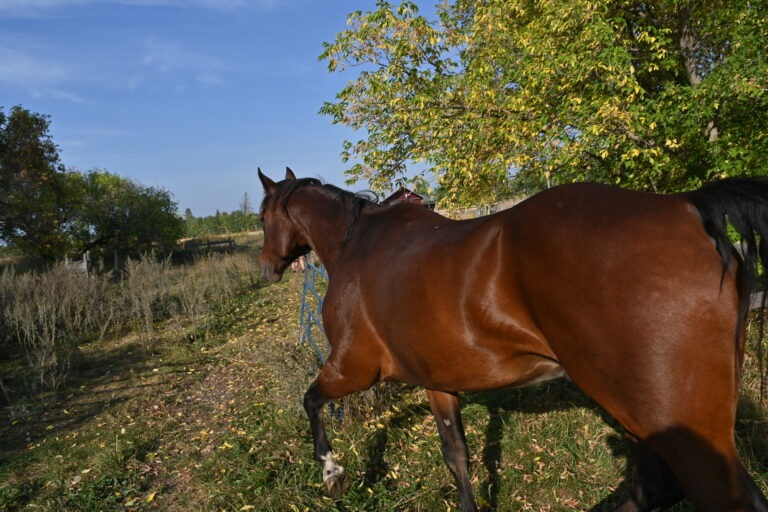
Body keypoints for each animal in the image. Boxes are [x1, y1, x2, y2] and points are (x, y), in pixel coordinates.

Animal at [257, 167, 768, 511]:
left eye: (262, 216)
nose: (267, 268)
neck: (356, 244)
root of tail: (688, 207)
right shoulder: (437, 382)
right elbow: (457, 457)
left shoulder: (353, 368)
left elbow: (311, 401)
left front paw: (333, 473)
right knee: (654, 487)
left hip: (674, 427)